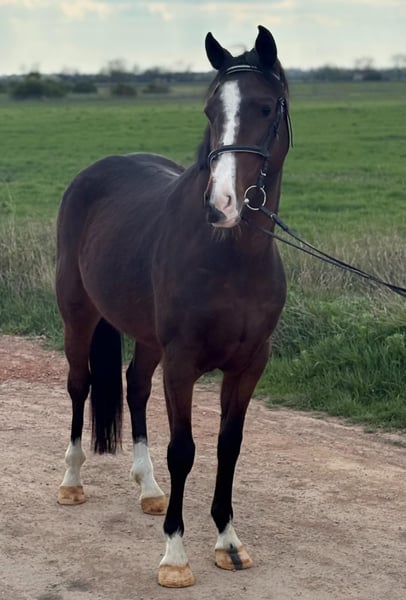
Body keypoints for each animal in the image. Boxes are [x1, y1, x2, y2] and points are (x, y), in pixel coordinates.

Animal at [56, 25, 291, 588]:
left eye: (266, 107)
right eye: (210, 109)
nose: (221, 205)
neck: (230, 256)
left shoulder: (250, 365)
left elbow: (229, 445)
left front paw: (228, 542)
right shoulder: (182, 363)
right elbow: (183, 450)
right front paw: (175, 557)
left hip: (146, 337)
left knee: (135, 385)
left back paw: (148, 489)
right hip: (77, 315)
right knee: (79, 385)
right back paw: (72, 481)